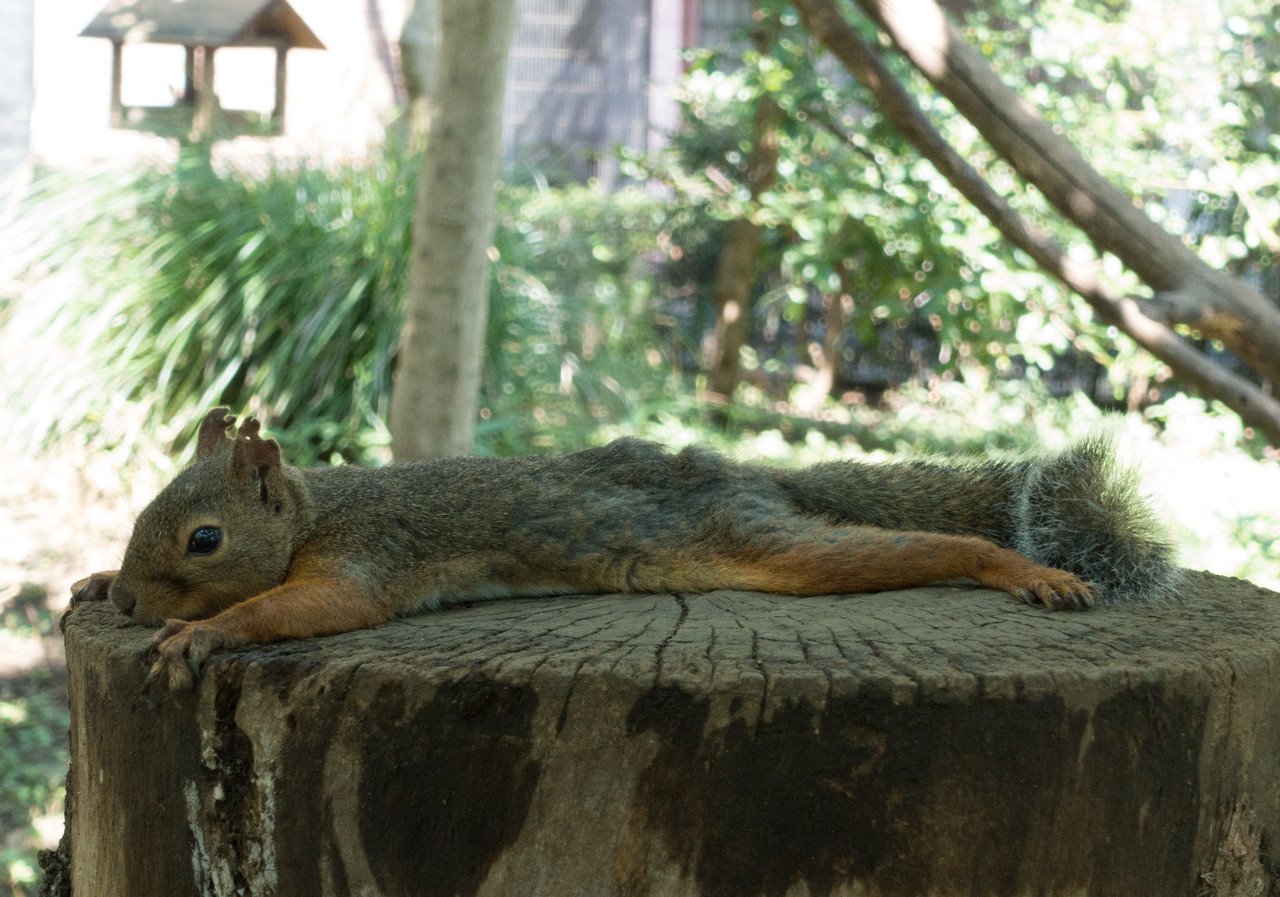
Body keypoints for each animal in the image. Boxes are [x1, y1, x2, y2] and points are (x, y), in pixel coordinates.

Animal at [72, 406, 1177, 685]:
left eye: (204, 538)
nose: (127, 602)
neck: (314, 510)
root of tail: (757, 477)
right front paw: (86, 580)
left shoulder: (370, 556)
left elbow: (307, 608)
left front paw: (203, 633)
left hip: (777, 550)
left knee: (925, 545)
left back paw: (1025, 570)